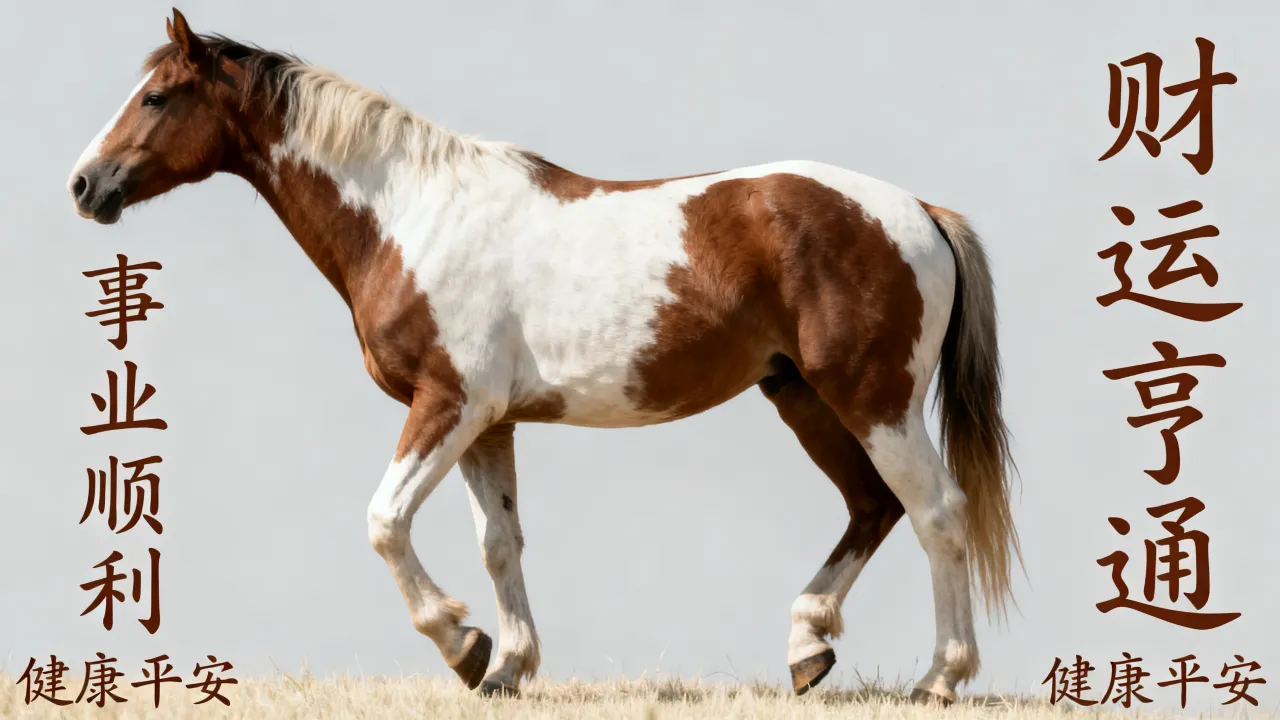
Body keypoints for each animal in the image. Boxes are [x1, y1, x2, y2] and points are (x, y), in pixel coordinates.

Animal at [66, 8, 1021, 704]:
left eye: (156, 98)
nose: (84, 185)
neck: (407, 215)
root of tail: (920, 212)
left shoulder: (447, 404)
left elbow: (384, 521)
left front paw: (462, 644)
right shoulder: (489, 422)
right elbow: (501, 541)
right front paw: (507, 665)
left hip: (873, 400)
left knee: (937, 512)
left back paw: (939, 679)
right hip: (803, 398)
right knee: (873, 507)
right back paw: (806, 647)